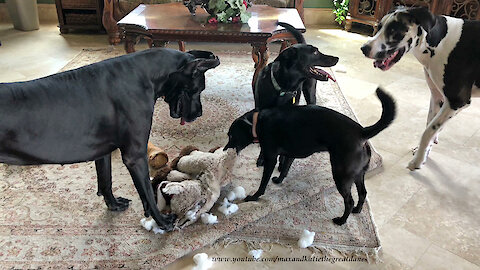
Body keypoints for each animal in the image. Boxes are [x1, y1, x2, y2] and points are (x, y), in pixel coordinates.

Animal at [0, 48, 219, 230]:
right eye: (198, 89)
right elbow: (147, 193)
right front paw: (162, 221)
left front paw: (113, 204)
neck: (145, 76)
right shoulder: (135, 156)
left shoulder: (103, 152)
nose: (199, 114)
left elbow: (106, 181)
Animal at [223, 87, 396, 225]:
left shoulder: (271, 158)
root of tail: (362, 132)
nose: (224, 149)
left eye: (231, 135)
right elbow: (285, 169)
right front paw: (278, 180)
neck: (257, 121)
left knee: (349, 200)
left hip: (341, 175)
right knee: (362, 193)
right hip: (358, 174)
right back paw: (357, 210)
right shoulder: (290, 154)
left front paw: (254, 197)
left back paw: (341, 220)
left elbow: (263, 183)